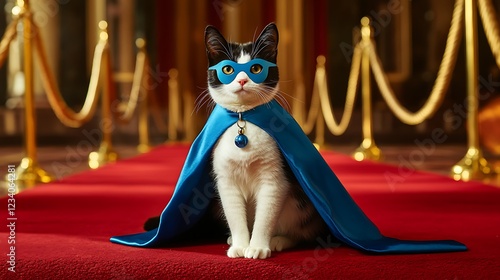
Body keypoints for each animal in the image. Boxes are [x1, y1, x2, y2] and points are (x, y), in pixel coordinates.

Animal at [204, 23, 326, 260]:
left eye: (256, 69)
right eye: (228, 70)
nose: (242, 80)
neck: (244, 118)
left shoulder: (274, 180)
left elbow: (265, 217)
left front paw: (258, 246)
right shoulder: (226, 181)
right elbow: (234, 215)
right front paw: (240, 245)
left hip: (302, 208)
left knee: (302, 231)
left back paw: (279, 240)